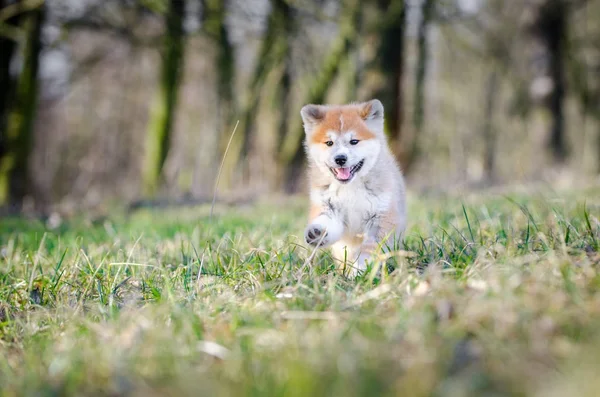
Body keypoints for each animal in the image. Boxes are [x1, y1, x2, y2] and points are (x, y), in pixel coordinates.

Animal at [300, 99, 408, 276]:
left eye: (354, 141)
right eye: (329, 143)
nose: (340, 159)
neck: (350, 188)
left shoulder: (380, 217)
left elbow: (369, 248)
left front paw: (360, 269)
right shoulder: (330, 207)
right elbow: (327, 222)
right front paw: (318, 232)